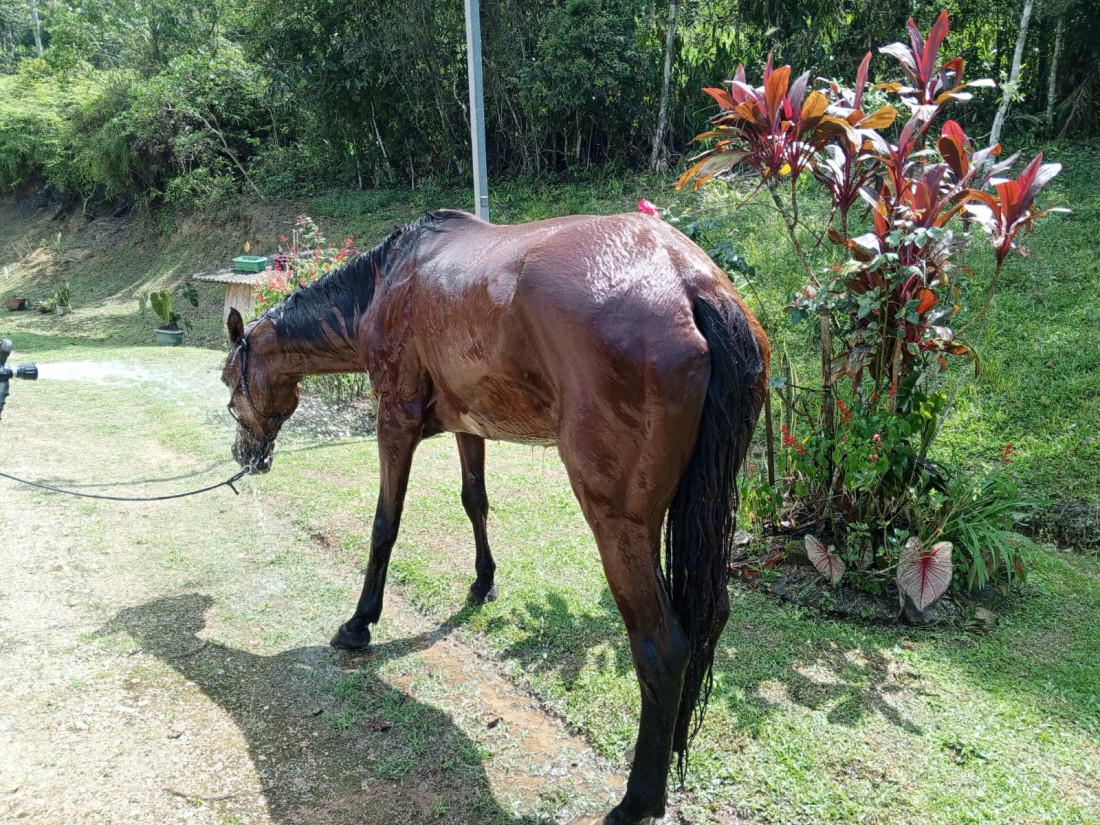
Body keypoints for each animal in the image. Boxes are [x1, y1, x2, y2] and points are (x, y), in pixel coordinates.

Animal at [218, 210, 770, 822]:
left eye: (229, 383)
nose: (246, 457)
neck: (388, 281)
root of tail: (689, 283)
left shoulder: (395, 420)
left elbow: (386, 523)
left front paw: (359, 623)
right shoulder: (468, 424)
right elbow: (474, 501)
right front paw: (483, 583)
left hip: (619, 523)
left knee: (662, 645)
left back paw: (638, 799)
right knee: (705, 621)